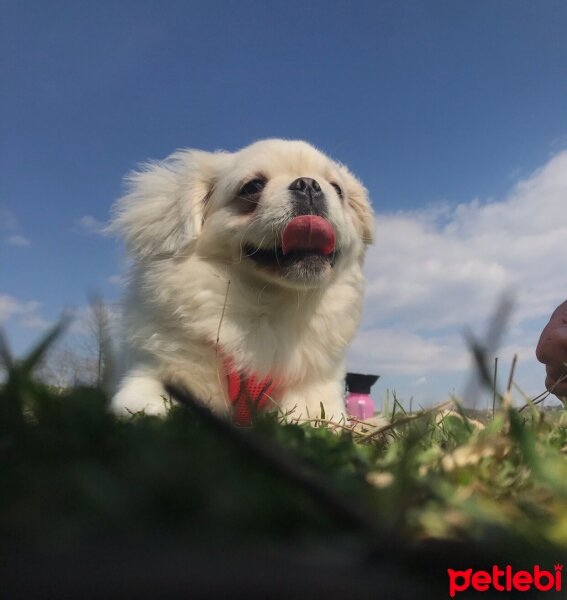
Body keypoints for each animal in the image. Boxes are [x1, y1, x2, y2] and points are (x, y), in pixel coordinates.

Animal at [111, 139, 378, 424]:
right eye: (252, 187)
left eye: (337, 190)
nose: (308, 184)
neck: (269, 306)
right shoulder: (158, 372)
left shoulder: (314, 392)